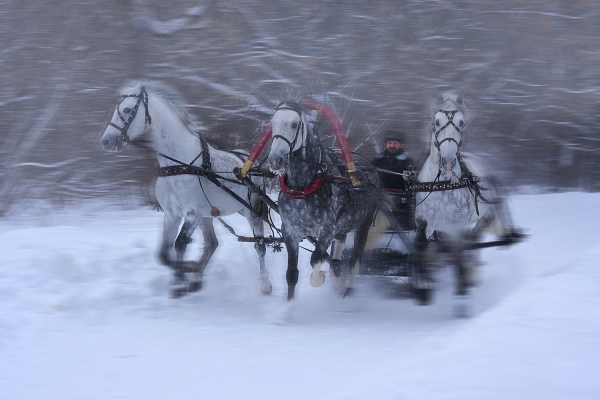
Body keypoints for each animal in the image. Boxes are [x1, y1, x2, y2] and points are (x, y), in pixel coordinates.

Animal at [99, 82, 274, 296]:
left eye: (126, 110)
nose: (106, 141)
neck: (180, 163)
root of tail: (251, 162)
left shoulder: (192, 212)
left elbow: (180, 244)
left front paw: (187, 271)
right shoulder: (172, 214)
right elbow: (163, 254)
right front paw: (182, 279)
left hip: (252, 211)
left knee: (260, 245)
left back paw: (265, 284)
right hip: (208, 214)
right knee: (212, 244)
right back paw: (197, 279)